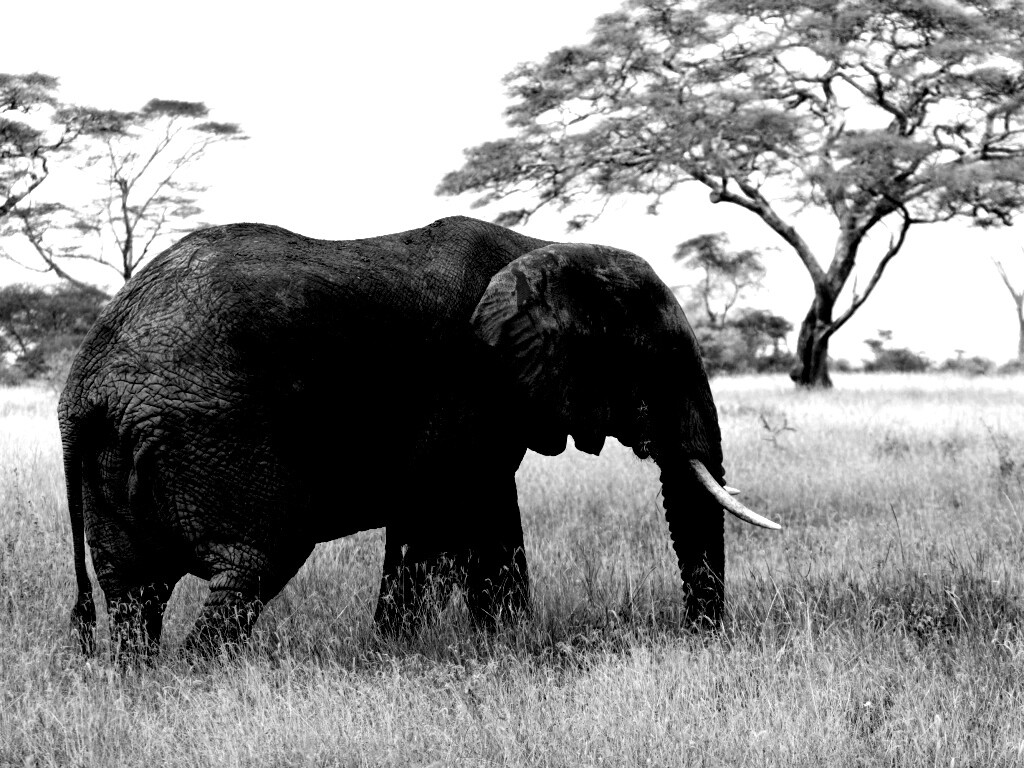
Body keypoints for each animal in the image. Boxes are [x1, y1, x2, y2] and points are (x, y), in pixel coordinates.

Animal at [58, 215, 779, 660]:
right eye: (655, 362)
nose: (699, 639)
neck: (544, 248)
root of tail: (86, 388)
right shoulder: (472, 388)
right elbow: (453, 520)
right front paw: (457, 651)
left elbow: (459, 525)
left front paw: (470, 648)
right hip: (211, 434)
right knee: (254, 562)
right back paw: (203, 676)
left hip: (120, 452)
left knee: (133, 589)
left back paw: (140, 681)